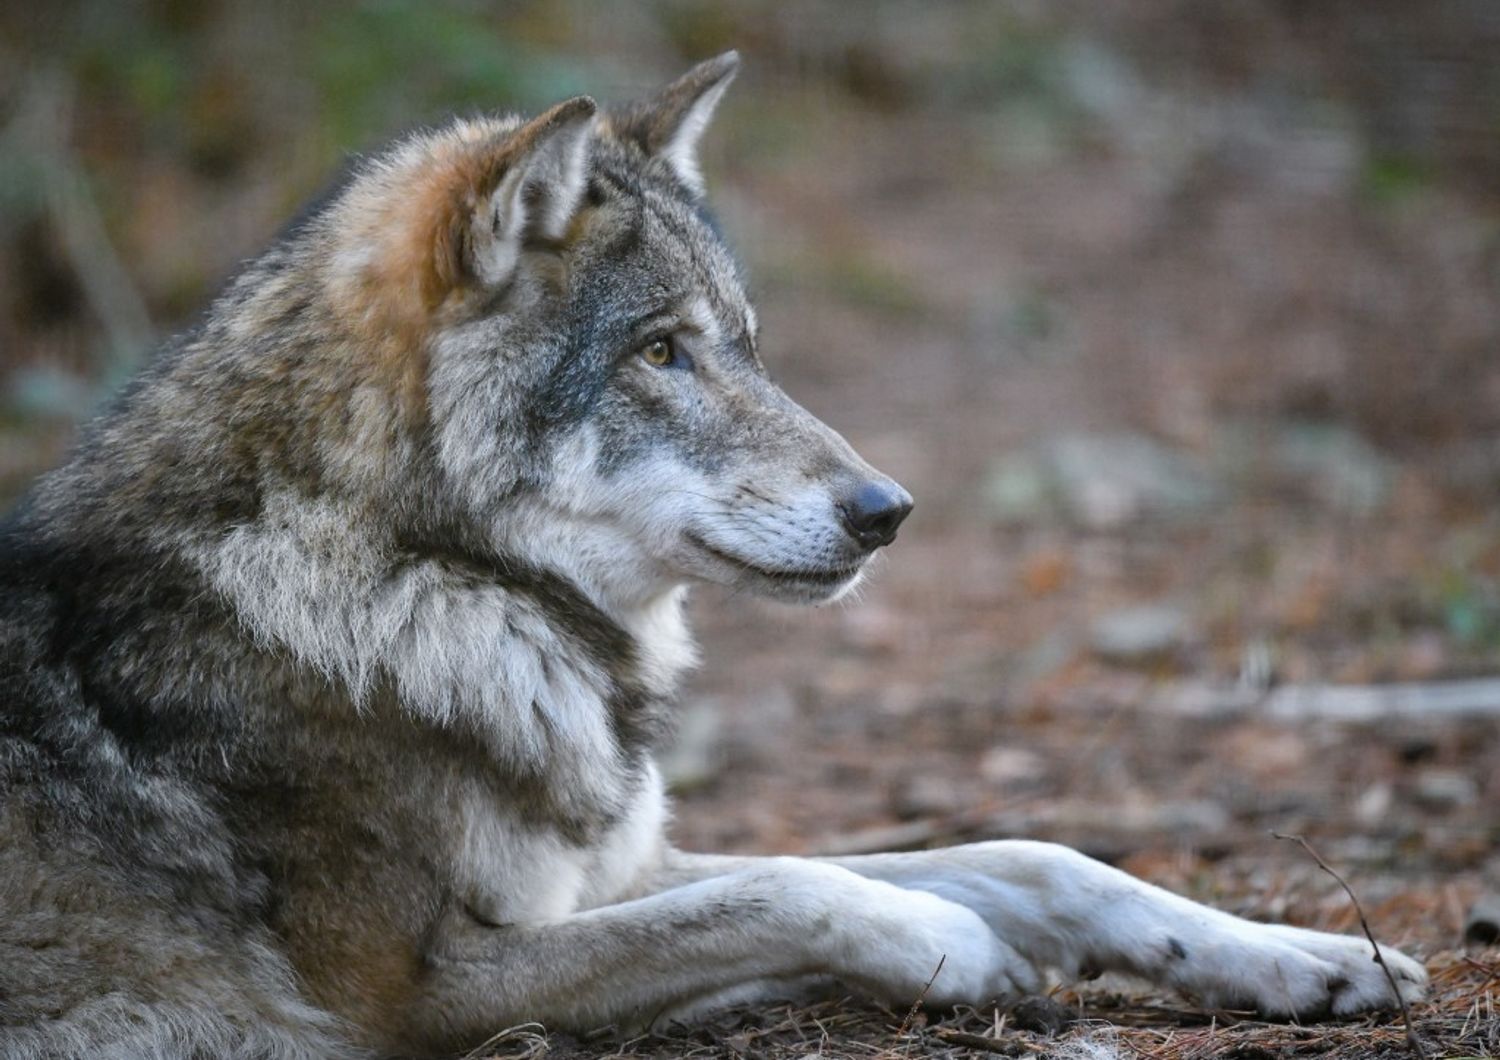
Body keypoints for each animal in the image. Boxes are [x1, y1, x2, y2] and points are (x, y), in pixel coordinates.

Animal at [2, 51, 1428, 1060]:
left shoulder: (613, 870)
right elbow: (793, 888)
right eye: (661, 351)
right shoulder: (407, 990)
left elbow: (1035, 852)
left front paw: (1309, 953)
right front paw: (951, 945)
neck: (423, 579)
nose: (888, 509)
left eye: (745, 343)